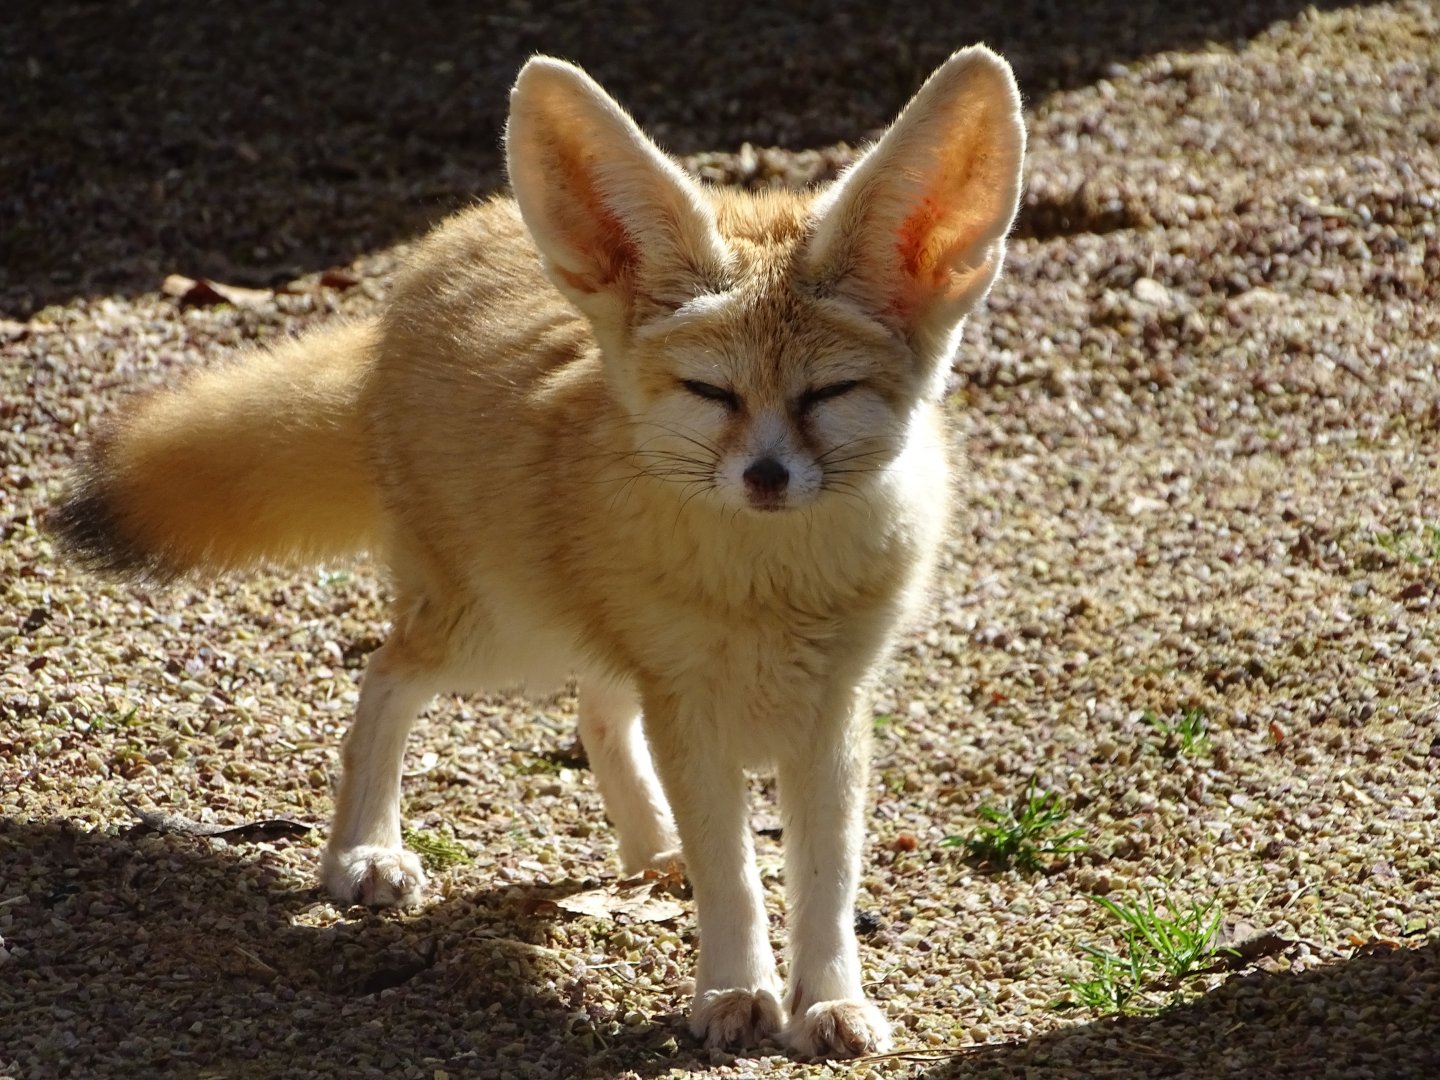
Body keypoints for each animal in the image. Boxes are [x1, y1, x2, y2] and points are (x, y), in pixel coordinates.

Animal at [51, 48, 1025, 1058]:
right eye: (710, 392)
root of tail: (445, 243)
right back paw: (362, 852)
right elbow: (736, 877)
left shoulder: (833, 711)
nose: (764, 478)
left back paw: (649, 850)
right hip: (494, 634)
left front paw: (830, 1001)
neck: (768, 593)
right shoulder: (688, 704)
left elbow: (824, 882)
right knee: (384, 681)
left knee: (594, 713)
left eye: (827, 394)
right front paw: (733, 992)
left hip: (573, 630)